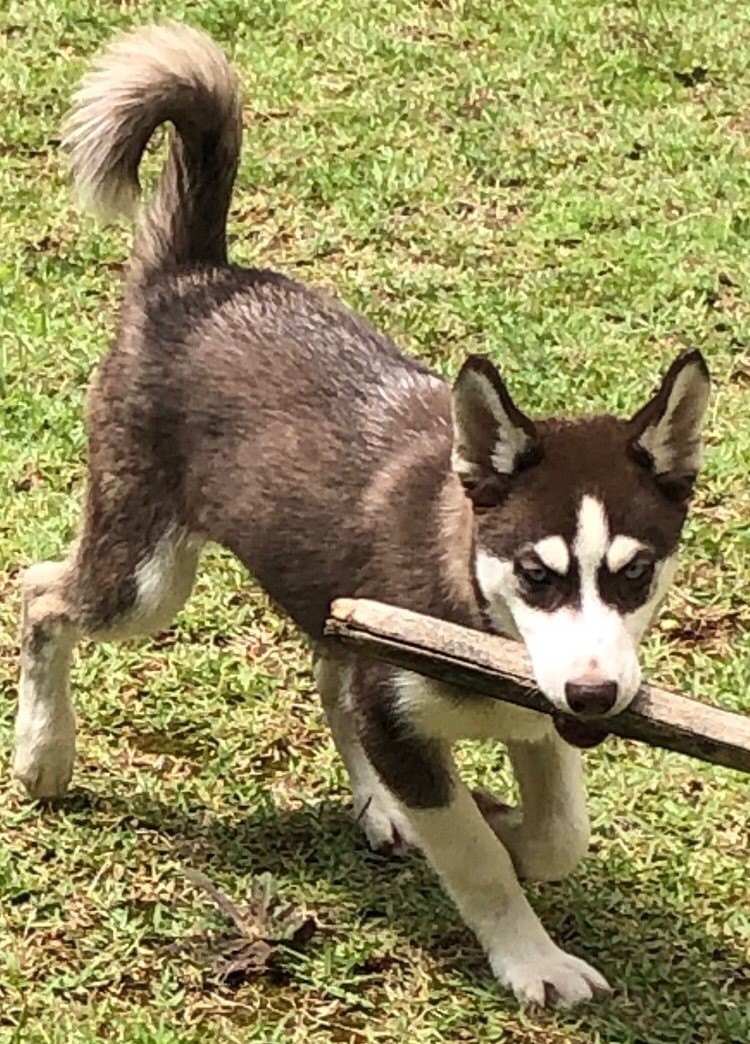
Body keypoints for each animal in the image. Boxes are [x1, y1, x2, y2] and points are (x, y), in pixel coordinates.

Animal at [14, 22, 714, 1002]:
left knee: (324, 672)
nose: (595, 694)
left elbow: (558, 836)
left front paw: (507, 825)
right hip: (146, 575)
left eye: (637, 573)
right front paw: (530, 955)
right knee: (42, 593)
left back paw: (379, 803)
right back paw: (45, 753)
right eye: (534, 575)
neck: (476, 610)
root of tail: (198, 275)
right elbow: (476, 858)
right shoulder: (403, 713)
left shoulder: (537, 718)